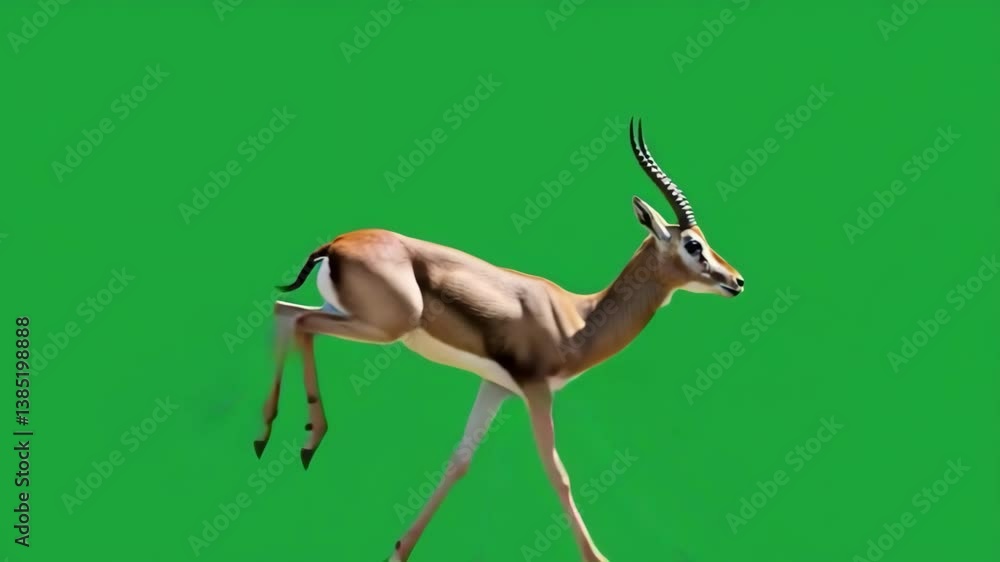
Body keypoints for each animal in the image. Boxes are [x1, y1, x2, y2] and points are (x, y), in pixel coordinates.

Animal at [253, 119, 744, 562]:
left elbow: (459, 462)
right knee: (302, 324)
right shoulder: (537, 391)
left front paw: (398, 551)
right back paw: (307, 441)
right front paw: (598, 558)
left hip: (349, 315)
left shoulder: (496, 387)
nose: (737, 281)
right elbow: (558, 473)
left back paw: (267, 439)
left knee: (285, 313)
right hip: (381, 328)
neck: (578, 319)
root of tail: (336, 243)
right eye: (693, 246)